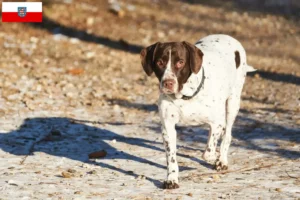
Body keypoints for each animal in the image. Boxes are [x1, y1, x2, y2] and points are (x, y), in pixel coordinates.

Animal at [140, 34, 255, 189]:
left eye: (180, 62)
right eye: (159, 62)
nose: (168, 83)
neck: (185, 96)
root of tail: (226, 36)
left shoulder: (217, 122)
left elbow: (208, 153)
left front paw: (215, 157)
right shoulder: (168, 128)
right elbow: (171, 158)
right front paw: (172, 179)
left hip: (233, 102)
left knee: (227, 134)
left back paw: (222, 160)